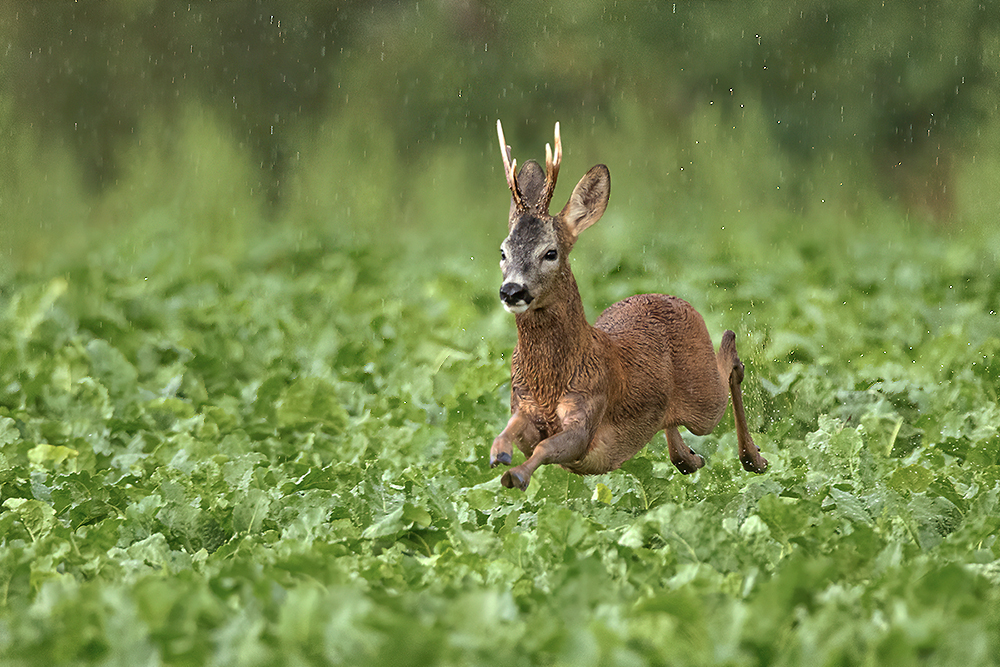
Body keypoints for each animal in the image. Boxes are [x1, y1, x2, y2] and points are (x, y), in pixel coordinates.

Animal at [490, 121, 764, 490]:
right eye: (503, 251)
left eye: (550, 252)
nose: (512, 290)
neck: (550, 381)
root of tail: (671, 297)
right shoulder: (521, 404)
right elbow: (511, 433)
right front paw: (499, 455)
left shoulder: (589, 411)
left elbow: (548, 447)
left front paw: (516, 475)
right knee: (674, 426)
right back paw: (690, 457)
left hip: (703, 394)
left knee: (731, 359)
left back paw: (754, 458)